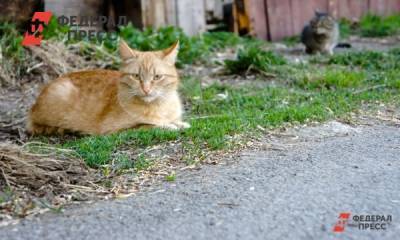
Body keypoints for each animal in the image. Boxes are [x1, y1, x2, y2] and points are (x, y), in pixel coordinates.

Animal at [27, 39, 190, 135]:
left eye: (157, 77)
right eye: (136, 76)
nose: (146, 89)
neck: (158, 106)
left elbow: (177, 121)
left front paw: (180, 123)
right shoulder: (115, 130)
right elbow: (146, 125)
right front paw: (168, 126)